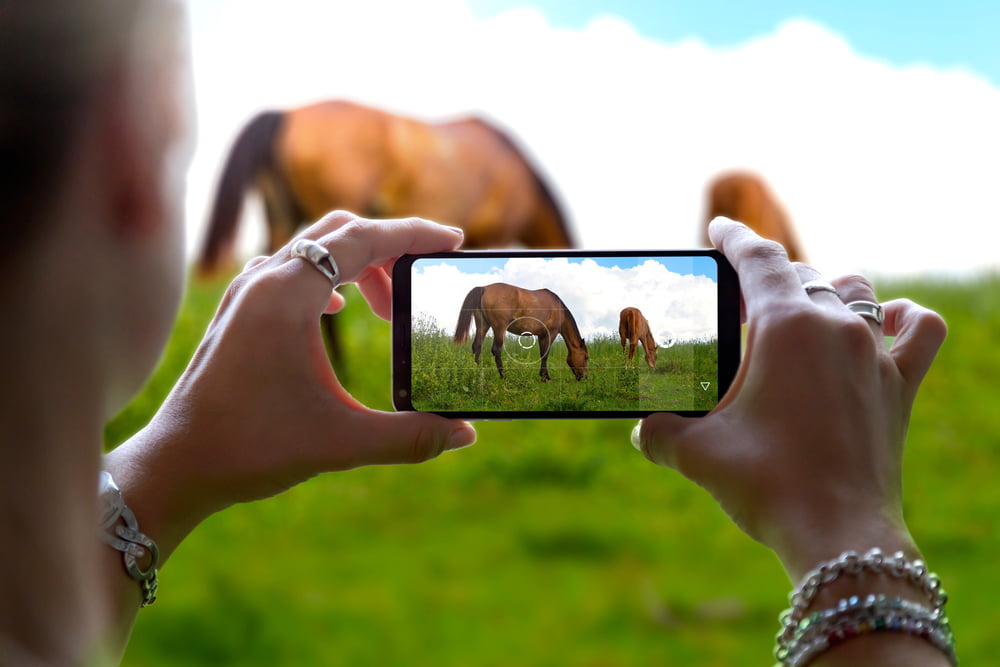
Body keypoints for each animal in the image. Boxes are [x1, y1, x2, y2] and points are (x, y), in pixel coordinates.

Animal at [452, 284, 584, 384]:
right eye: (586, 357)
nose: (584, 377)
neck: (558, 308)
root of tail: (484, 288)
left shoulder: (541, 335)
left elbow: (542, 354)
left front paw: (543, 375)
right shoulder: (551, 333)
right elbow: (545, 355)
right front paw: (546, 378)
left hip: (483, 325)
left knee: (477, 347)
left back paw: (477, 371)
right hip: (499, 328)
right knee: (496, 350)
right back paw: (503, 376)